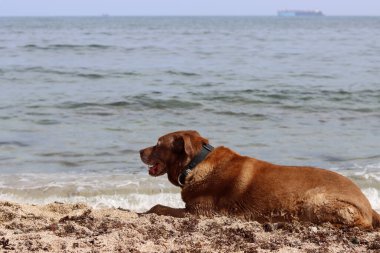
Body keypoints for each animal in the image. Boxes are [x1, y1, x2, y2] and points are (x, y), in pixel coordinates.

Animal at [140, 131, 380, 228]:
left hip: (315, 200)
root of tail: (368, 205)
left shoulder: (200, 212)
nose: (139, 151)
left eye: (158, 144)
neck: (196, 164)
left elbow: (158, 207)